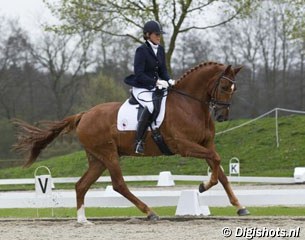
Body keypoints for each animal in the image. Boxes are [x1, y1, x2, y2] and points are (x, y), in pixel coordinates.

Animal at [13, 62, 248, 223]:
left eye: (234, 89)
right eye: (224, 87)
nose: (222, 116)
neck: (189, 104)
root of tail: (84, 115)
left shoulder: (206, 144)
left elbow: (221, 171)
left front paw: (239, 206)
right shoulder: (184, 146)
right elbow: (216, 161)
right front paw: (203, 186)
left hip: (98, 159)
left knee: (81, 185)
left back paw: (82, 220)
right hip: (108, 154)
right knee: (119, 184)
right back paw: (150, 212)